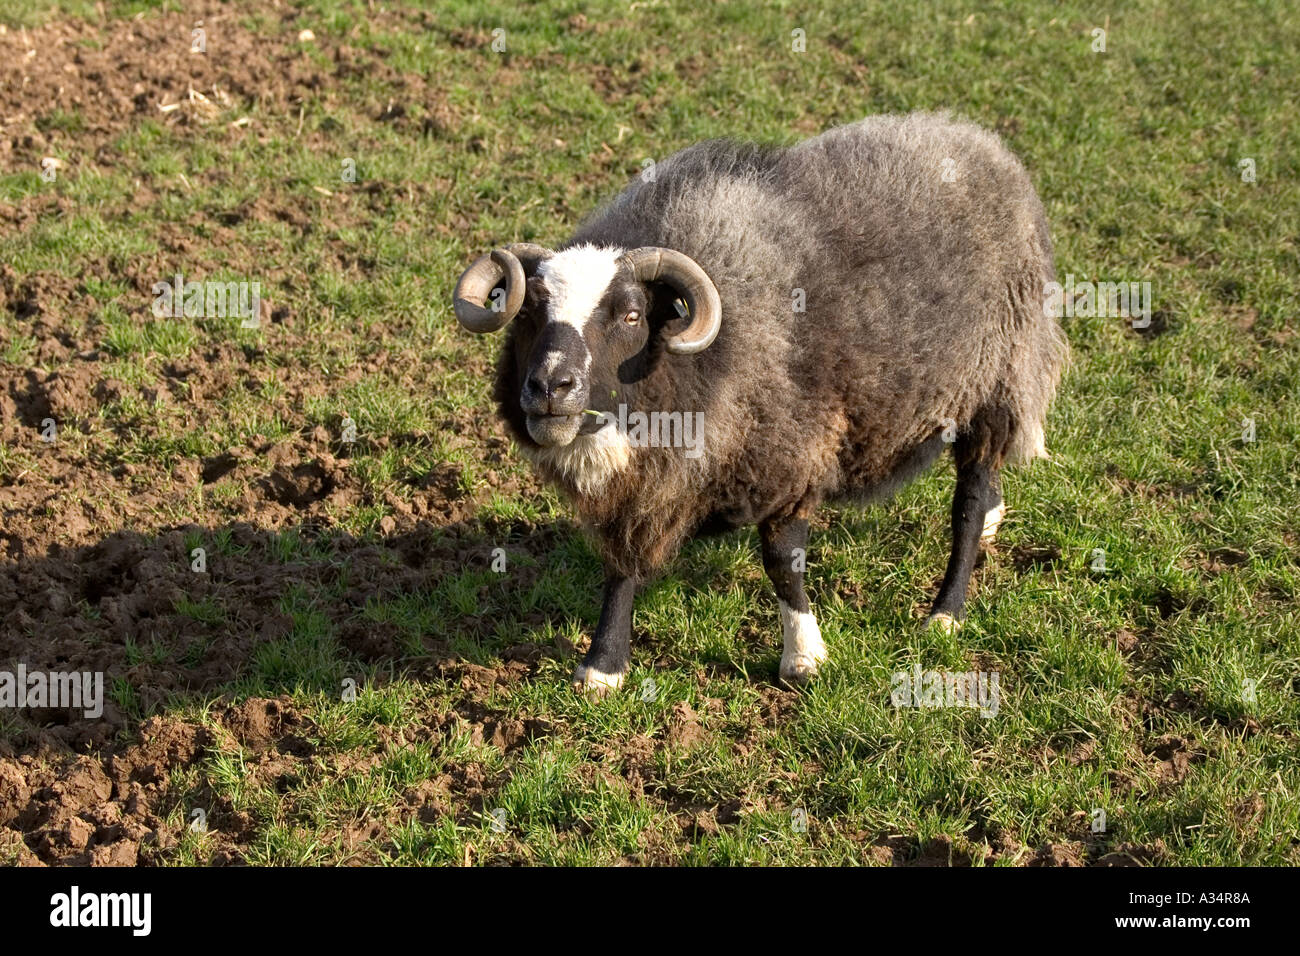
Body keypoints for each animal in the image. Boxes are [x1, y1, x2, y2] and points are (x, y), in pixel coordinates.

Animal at [452, 111, 1068, 695]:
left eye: (630, 315)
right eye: (528, 314)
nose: (549, 388)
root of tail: (981, 143)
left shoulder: (790, 456)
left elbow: (782, 561)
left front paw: (804, 655)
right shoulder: (645, 487)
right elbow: (622, 565)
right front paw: (603, 667)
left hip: (992, 383)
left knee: (967, 501)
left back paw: (945, 612)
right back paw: (993, 523)